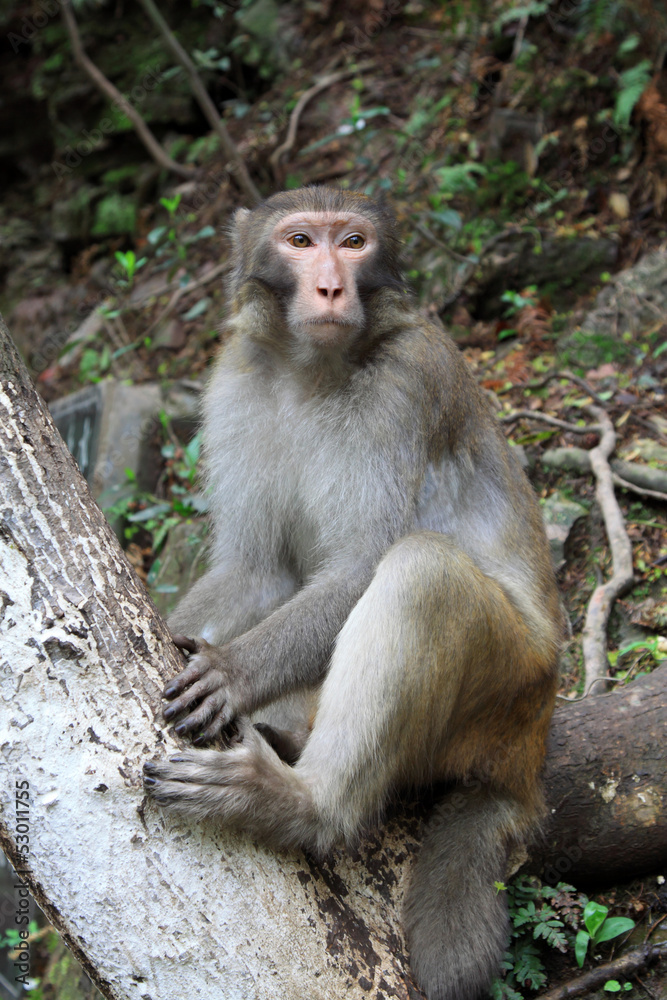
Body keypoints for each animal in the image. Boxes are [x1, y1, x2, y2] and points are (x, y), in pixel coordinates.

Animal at [145, 188, 564, 1000]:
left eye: (353, 242)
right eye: (301, 241)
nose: (332, 286)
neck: (311, 370)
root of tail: (528, 748)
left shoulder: (405, 383)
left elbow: (360, 567)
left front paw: (233, 672)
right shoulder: (237, 379)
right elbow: (257, 569)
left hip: (507, 685)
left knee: (422, 575)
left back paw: (305, 805)